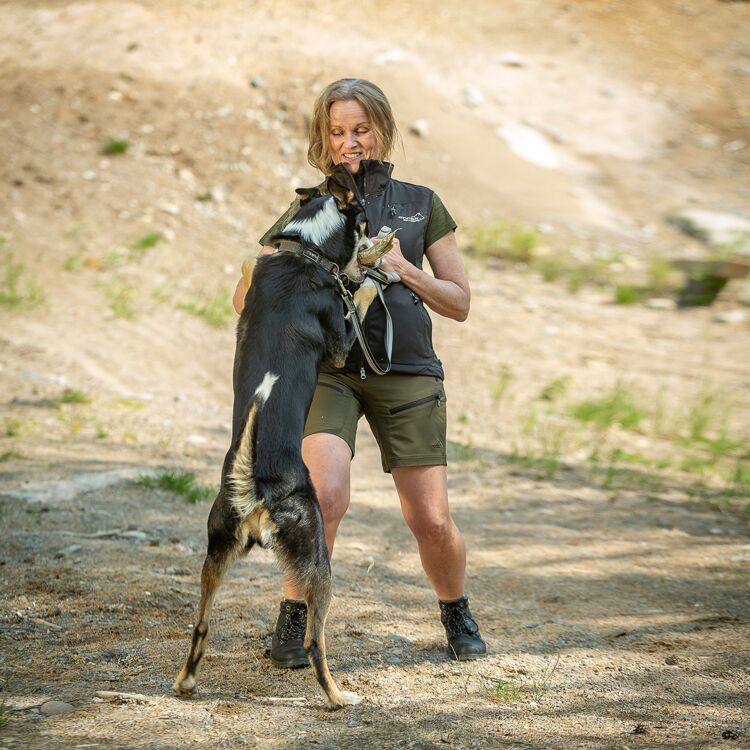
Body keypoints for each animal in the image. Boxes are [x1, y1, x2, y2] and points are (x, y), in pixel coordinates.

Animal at [172, 176, 394, 712]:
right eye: (364, 217)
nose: (378, 228)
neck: (305, 251)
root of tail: (257, 487)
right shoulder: (339, 347)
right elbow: (359, 295)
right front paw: (369, 275)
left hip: (215, 552)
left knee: (200, 624)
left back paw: (185, 682)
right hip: (319, 559)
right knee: (315, 641)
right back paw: (338, 697)